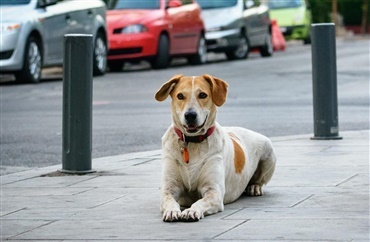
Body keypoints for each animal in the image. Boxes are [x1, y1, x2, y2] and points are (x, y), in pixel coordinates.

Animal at [155, 74, 276, 222]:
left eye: (202, 95)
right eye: (180, 96)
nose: (190, 115)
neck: (192, 142)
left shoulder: (214, 192)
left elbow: (200, 202)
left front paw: (192, 211)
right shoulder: (169, 188)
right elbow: (168, 199)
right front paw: (172, 211)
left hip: (269, 152)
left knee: (260, 180)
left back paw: (254, 187)